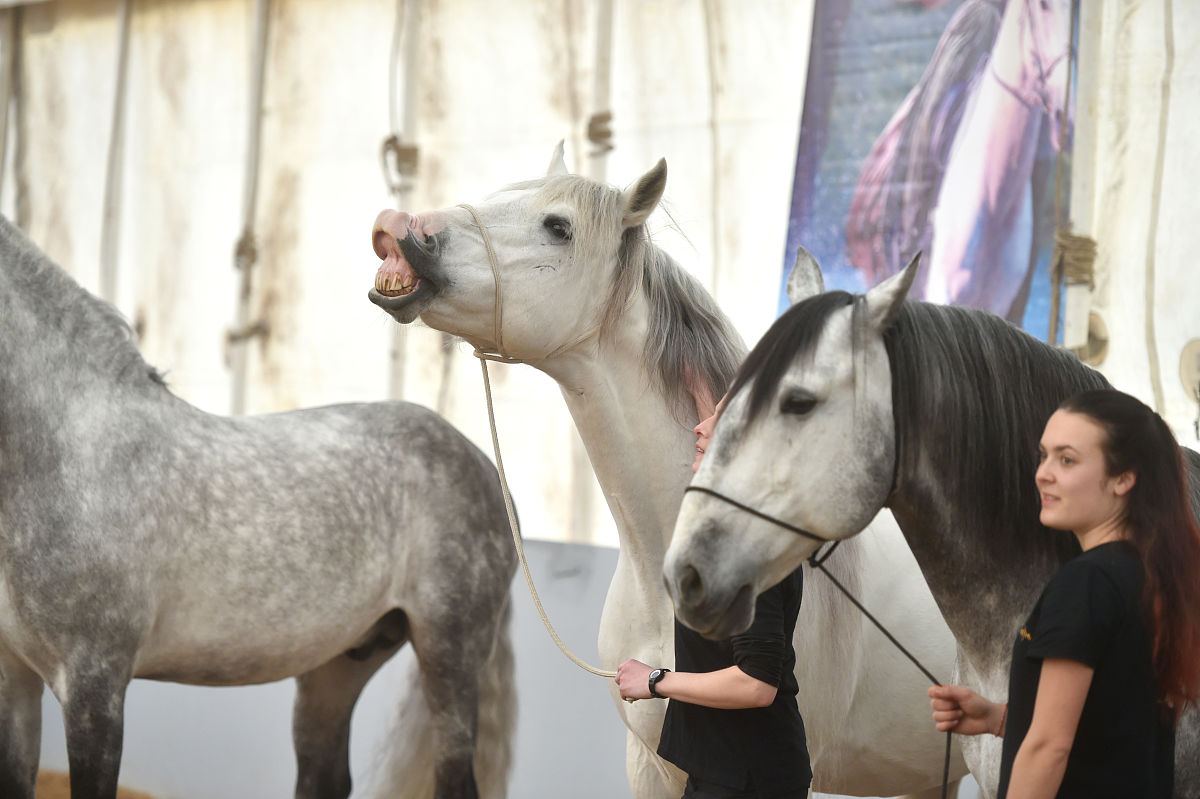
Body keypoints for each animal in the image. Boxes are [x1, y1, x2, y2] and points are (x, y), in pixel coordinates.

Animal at [0, 215, 516, 799]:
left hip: (450, 654)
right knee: (324, 776)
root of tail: (484, 466)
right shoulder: (15, 676)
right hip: (337, 666)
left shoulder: (95, 683)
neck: (70, 448)